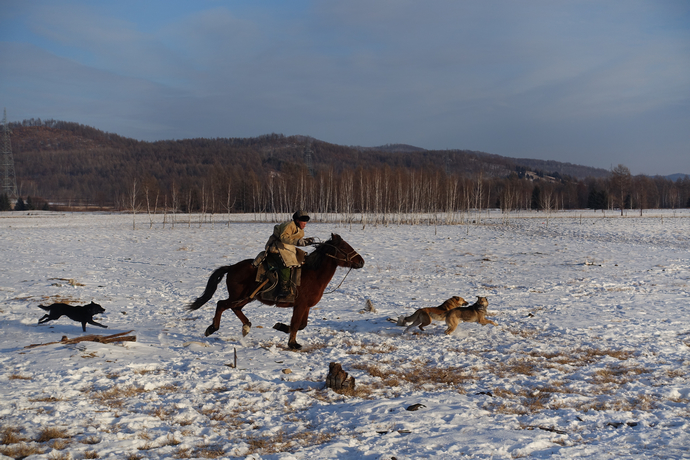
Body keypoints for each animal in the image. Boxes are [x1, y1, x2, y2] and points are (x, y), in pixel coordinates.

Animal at [185, 234, 362, 348]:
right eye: (344, 247)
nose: (362, 261)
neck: (313, 273)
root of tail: (232, 267)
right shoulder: (300, 305)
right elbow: (296, 324)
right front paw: (292, 343)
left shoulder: (305, 306)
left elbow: (301, 325)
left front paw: (280, 327)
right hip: (239, 295)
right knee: (221, 304)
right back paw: (212, 328)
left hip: (248, 297)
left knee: (235, 308)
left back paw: (246, 326)